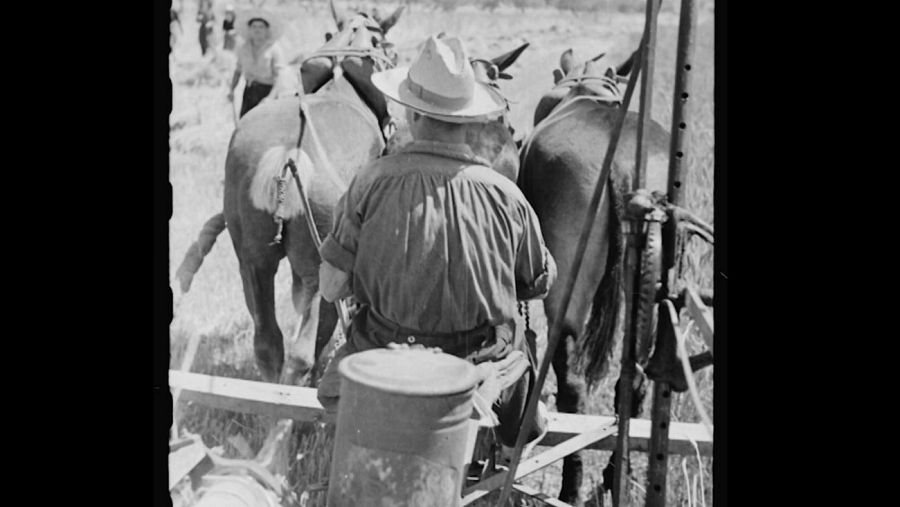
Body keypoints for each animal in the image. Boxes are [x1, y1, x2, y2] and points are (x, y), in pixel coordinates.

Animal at [516, 47, 672, 504]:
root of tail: (619, 159)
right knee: (634, 378)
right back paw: (613, 476)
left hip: (568, 282)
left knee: (571, 382)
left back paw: (572, 483)